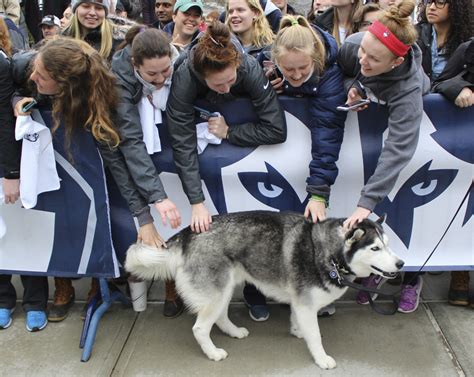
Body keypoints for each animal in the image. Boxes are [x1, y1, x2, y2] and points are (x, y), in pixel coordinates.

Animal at [126, 210, 404, 368]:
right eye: (375, 248)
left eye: (388, 244)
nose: (401, 264)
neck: (328, 253)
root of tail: (188, 233)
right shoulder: (306, 304)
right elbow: (316, 336)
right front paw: (321, 358)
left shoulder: (299, 301)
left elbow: (298, 320)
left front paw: (297, 331)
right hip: (217, 291)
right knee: (200, 328)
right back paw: (213, 353)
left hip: (225, 288)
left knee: (221, 316)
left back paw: (234, 332)